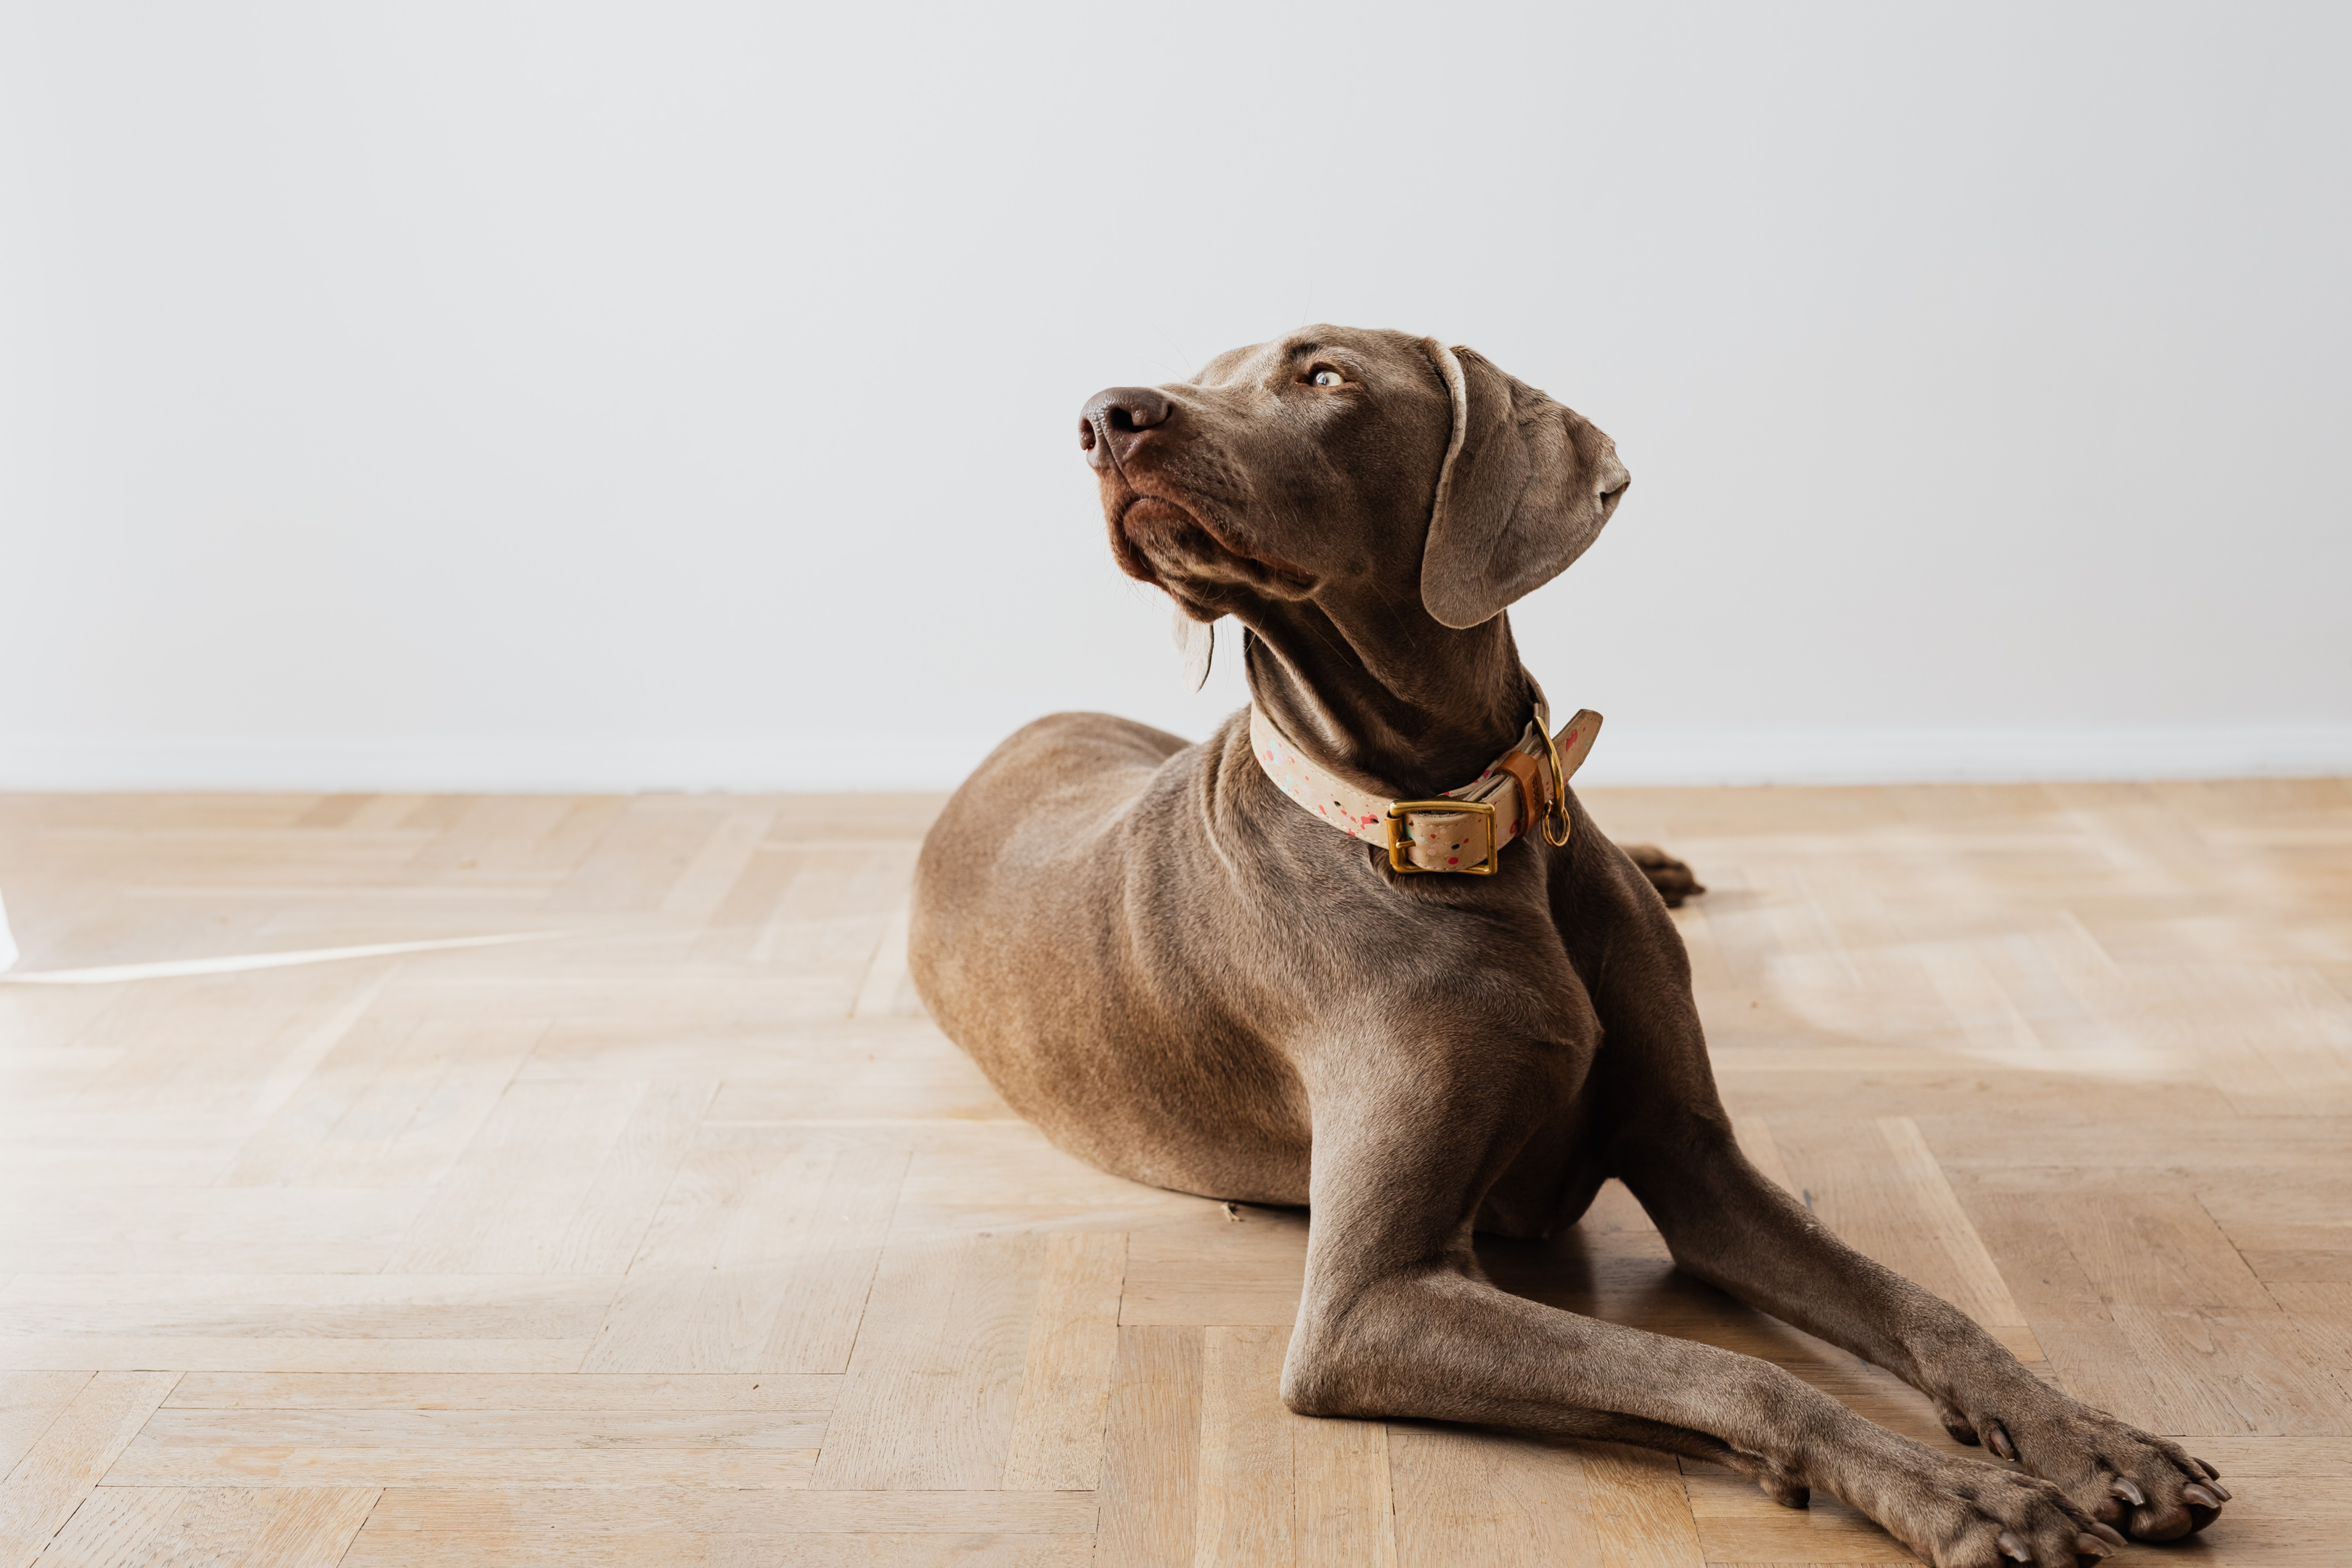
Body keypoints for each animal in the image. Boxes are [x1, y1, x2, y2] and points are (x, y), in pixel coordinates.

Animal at [907, 324, 2229, 1561]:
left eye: (1323, 375)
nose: (1105, 416)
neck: (1462, 823)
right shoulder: (1368, 1309)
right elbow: (1732, 1370)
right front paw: (1962, 1494)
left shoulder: (1698, 1165)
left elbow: (1927, 1307)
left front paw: (2094, 1441)